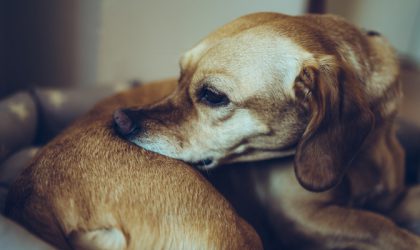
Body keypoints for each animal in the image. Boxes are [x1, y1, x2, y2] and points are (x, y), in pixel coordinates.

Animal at [115, 13, 420, 250]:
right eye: (180, 75)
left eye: (213, 96)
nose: (120, 120)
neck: (366, 151)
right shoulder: (303, 217)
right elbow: (379, 225)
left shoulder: (392, 197)